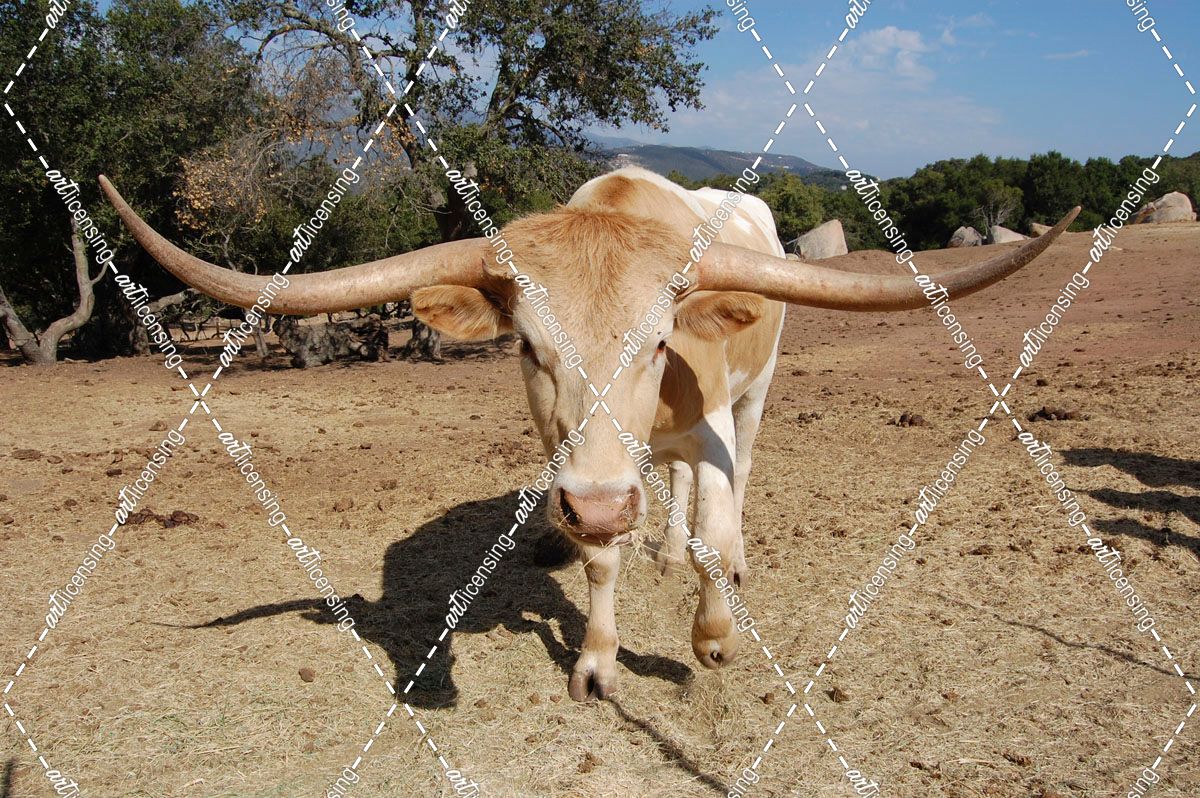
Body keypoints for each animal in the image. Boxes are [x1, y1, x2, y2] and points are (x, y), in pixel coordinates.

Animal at [99, 168, 1078, 701]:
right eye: (529, 347)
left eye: (659, 341)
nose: (606, 506)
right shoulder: (584, 475)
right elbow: (603, 563)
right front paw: (602, 660)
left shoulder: (705, 431)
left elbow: (718, 530)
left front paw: (713, 634)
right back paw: (660, 546)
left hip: (756, 397)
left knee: (737, 484)